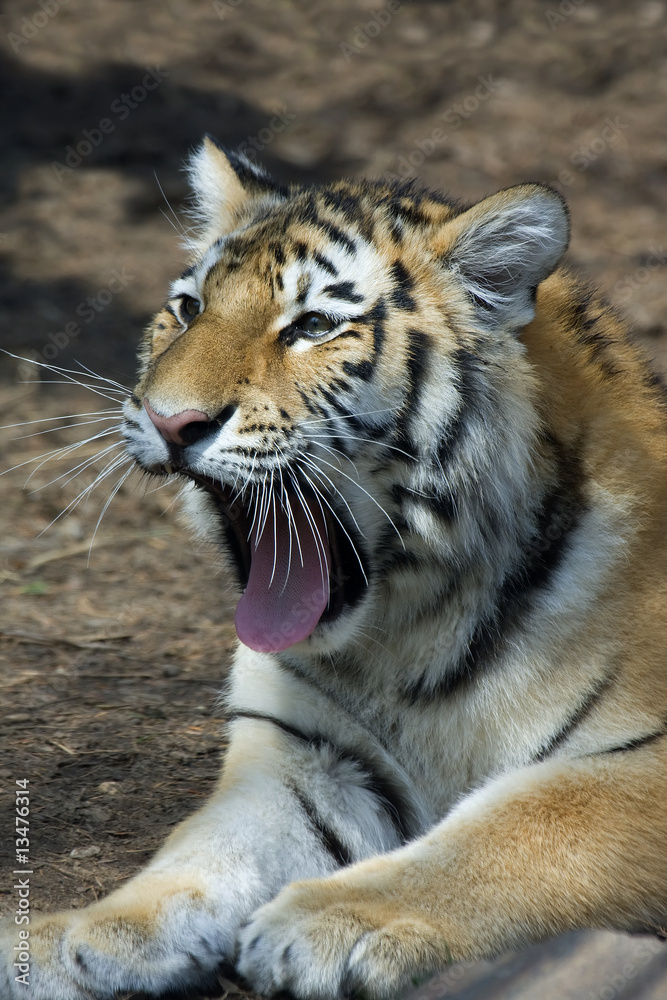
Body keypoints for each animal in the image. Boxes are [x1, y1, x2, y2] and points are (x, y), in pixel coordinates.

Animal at [3, 134, 667, 1000]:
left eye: (312, 325)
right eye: (189, 309)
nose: (171, 421)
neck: (406, 631)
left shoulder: (640, 766)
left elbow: (514, 831)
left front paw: (331, 922)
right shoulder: (307, 755)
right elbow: (203, 846)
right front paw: (78, 934)